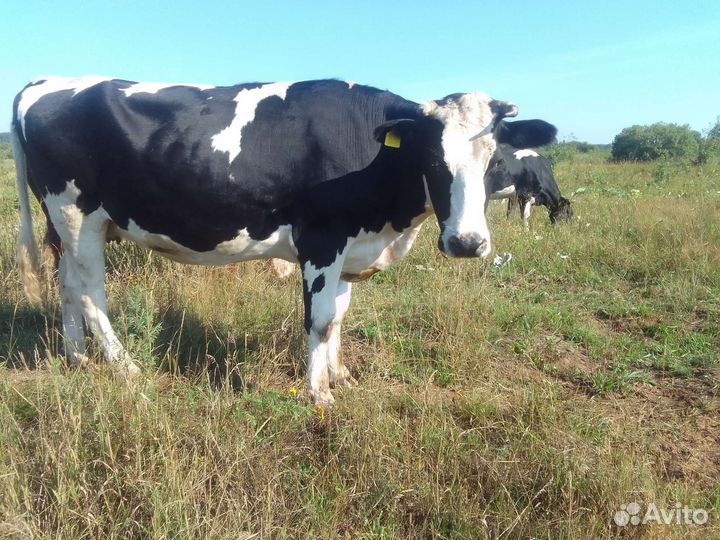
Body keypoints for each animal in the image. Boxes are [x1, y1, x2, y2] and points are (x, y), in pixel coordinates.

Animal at [12, 76, 556, 405]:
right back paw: (125, 367)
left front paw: (340, 375)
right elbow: (319, 320)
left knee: (67, 285)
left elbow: (340, 315)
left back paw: (77, 357)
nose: (467, 242)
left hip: (66, 224)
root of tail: (47, 82)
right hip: (76, 215)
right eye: (431, 158)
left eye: (496, 160)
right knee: (91, 294)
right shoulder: (322, 238)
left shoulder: (350, 244)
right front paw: (320, 395)